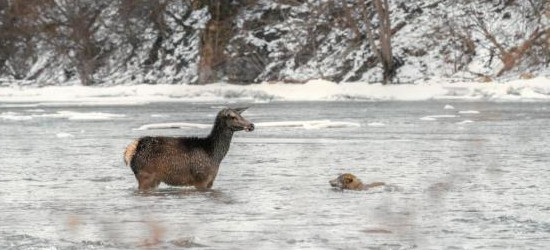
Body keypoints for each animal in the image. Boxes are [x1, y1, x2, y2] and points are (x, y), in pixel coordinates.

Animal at [124, 107, 256, 191]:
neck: (214, 154)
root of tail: (132, 149)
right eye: (233, 117)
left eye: (241, 115)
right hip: (145, 175)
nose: (251, 125)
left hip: (154, 179)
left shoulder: (211, 181)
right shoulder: (201, 178)